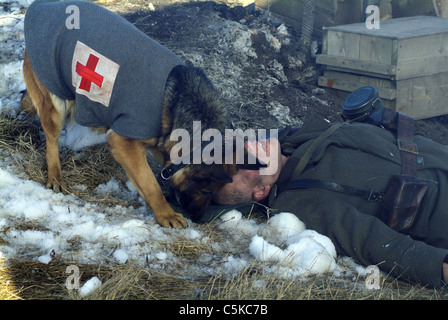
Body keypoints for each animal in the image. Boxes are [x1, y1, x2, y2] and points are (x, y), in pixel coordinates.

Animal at [21, 1, 234, 229]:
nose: (199, 219)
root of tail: (42, 5)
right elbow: (151, 184)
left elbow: (145, 178)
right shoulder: (125, 142)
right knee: (51, 142)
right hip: (55, 102)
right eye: (205, 190)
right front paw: (166, 214)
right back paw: (55, 177)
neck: (179, 101)